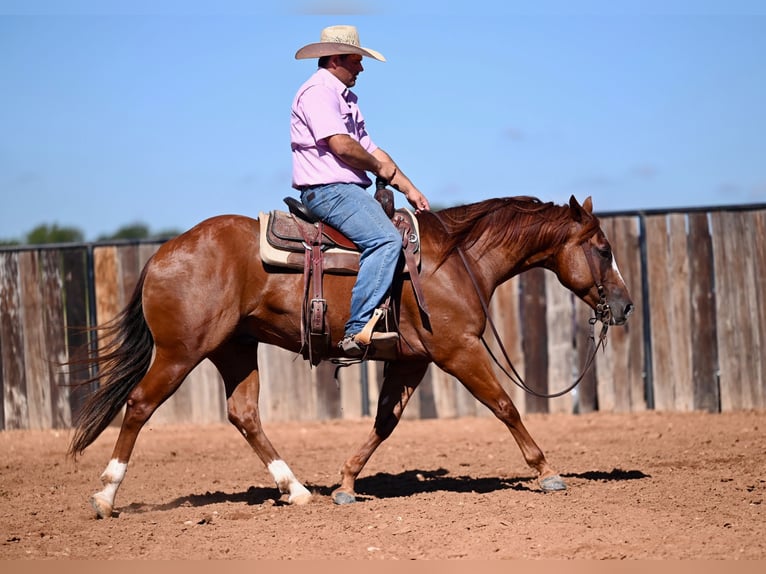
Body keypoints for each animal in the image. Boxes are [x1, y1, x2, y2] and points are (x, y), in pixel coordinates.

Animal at [69, 194, 636, 516]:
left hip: (235, 349)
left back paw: (297, 490)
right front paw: (547, 472)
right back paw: (105, 497)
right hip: (180, 352)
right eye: (603, 249)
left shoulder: (411, 360)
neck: (456, 260)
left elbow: (385, 422)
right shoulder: (458, 350)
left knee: (244, 414)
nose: (626, 304)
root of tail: (163, 253)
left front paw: (344, 483)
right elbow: (506, 406)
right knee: (139, 405)